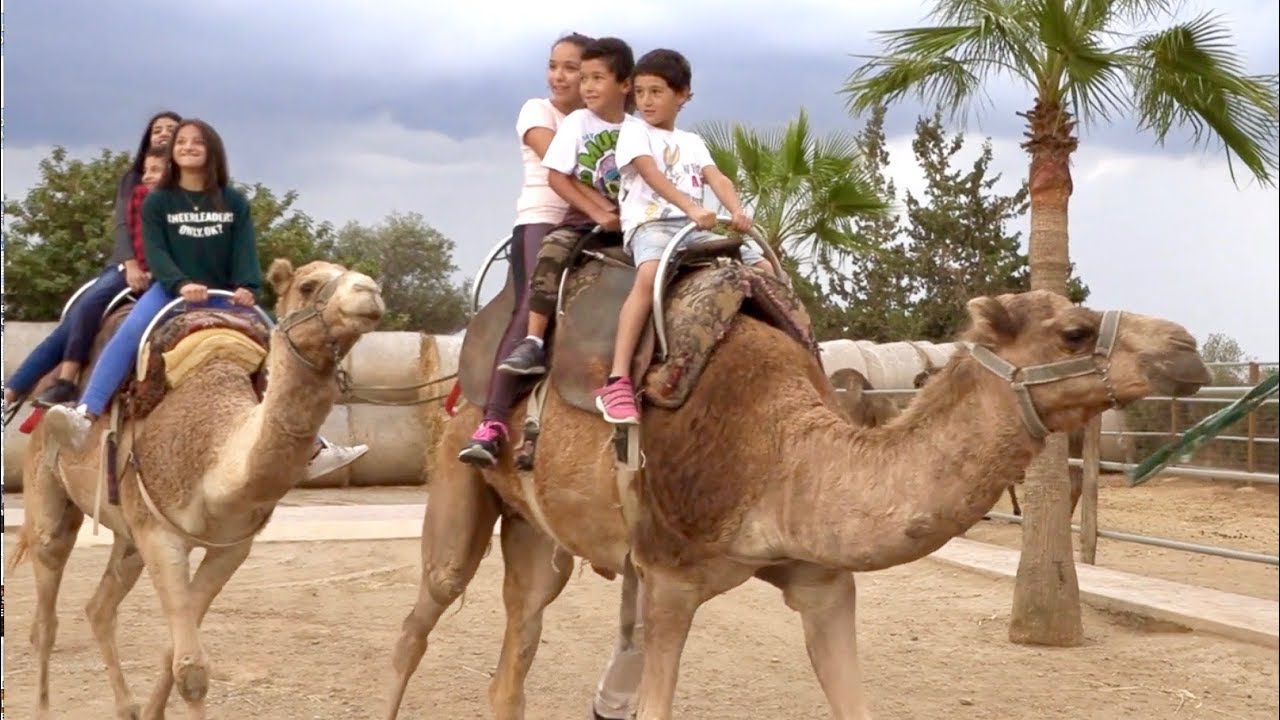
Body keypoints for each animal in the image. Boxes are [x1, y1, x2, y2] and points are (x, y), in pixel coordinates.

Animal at [7, 259, 385, 720]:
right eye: (309, 285)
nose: (369, 292)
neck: (214, 455)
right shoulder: (161, 536)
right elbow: (190, 670)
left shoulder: (231, 546)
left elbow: (175, 652)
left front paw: (152, 712)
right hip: (49, 493)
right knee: (46, 612)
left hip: (129, 536)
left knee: (99, 607)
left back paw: (127, 708)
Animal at [383, 277, 1210, 718]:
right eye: (1073, 330)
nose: (1188, 348)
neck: (780, 453)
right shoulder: (671, 578)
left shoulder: (822, 580)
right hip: (460, 475)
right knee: (419, 620)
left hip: (538, 534)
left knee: (514, 655)